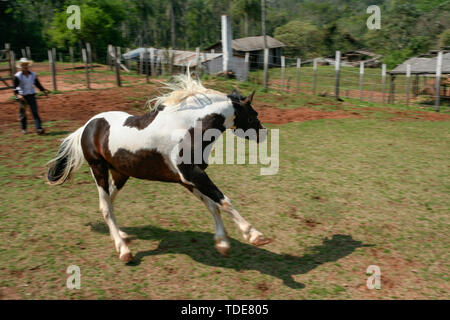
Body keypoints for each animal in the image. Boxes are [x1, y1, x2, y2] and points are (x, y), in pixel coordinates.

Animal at [46, 74, 270, 264]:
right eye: (253, 114)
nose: (264, 134)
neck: (188, 128)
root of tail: (86, 127)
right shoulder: (192, 174)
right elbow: (223, 201)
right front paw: (255, 235)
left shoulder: (187, 179)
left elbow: (212, 205)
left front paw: (222, 243)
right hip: (98, 168)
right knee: (105, 207)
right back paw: (124, 251)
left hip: (121, 173)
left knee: (110, 201)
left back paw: (123, 236)